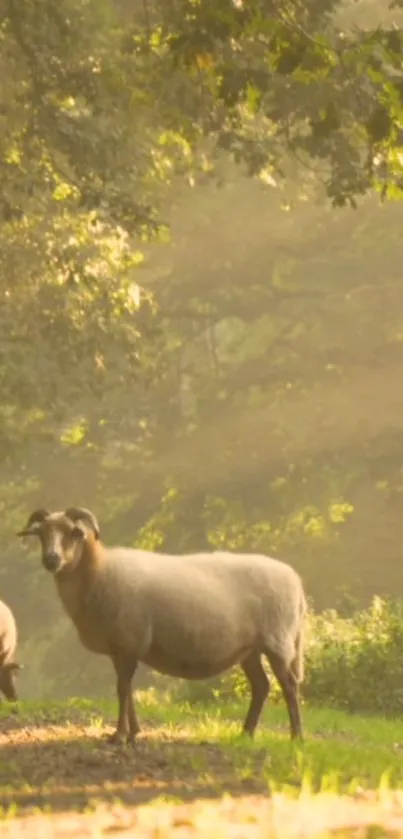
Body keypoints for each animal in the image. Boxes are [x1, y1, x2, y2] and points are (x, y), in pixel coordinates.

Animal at [17, 508, 308, 744]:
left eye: (73, 533)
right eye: (41, 533)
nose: (51, 559)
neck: (98, 571)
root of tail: (295, 580)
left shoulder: (129, 641)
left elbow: (122, 690)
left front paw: (120, 736)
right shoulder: (120, 648)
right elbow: (126, 689)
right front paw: (133, 732)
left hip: (278, 641)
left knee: (290, 686)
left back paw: (296, 737)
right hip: (250, 649)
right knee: (262, 687)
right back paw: (245, 734)